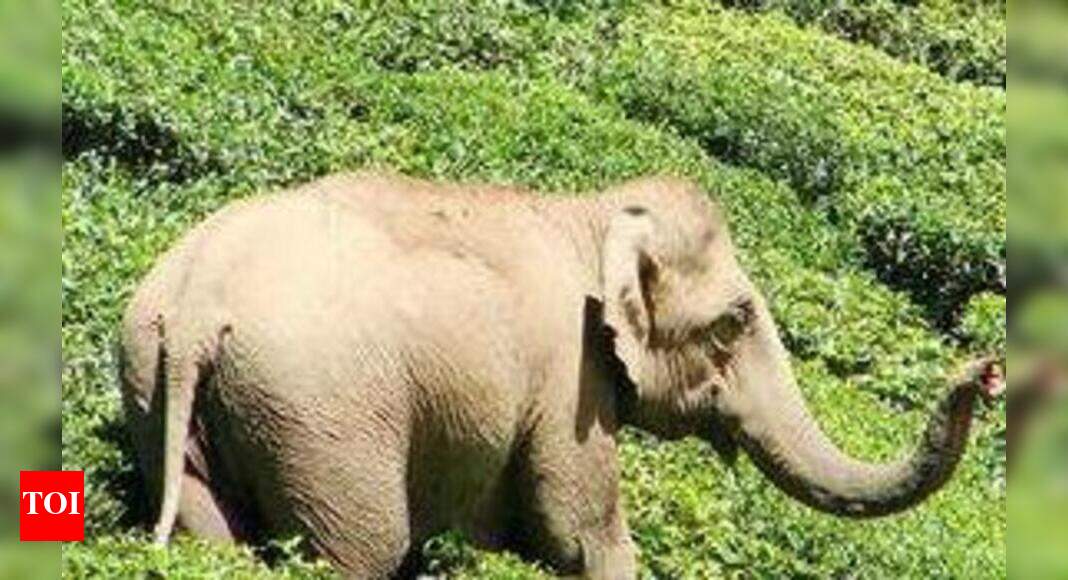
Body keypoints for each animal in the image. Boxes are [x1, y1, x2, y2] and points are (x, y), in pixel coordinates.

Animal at [119, 173, 1002, 578]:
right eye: (732, 323)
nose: (986, 370)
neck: (589, 211)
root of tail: (195, 312)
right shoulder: (569, 380)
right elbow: (581, 536)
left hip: (163, 393)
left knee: (211, 528)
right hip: (321, 420)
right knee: (360, 549)